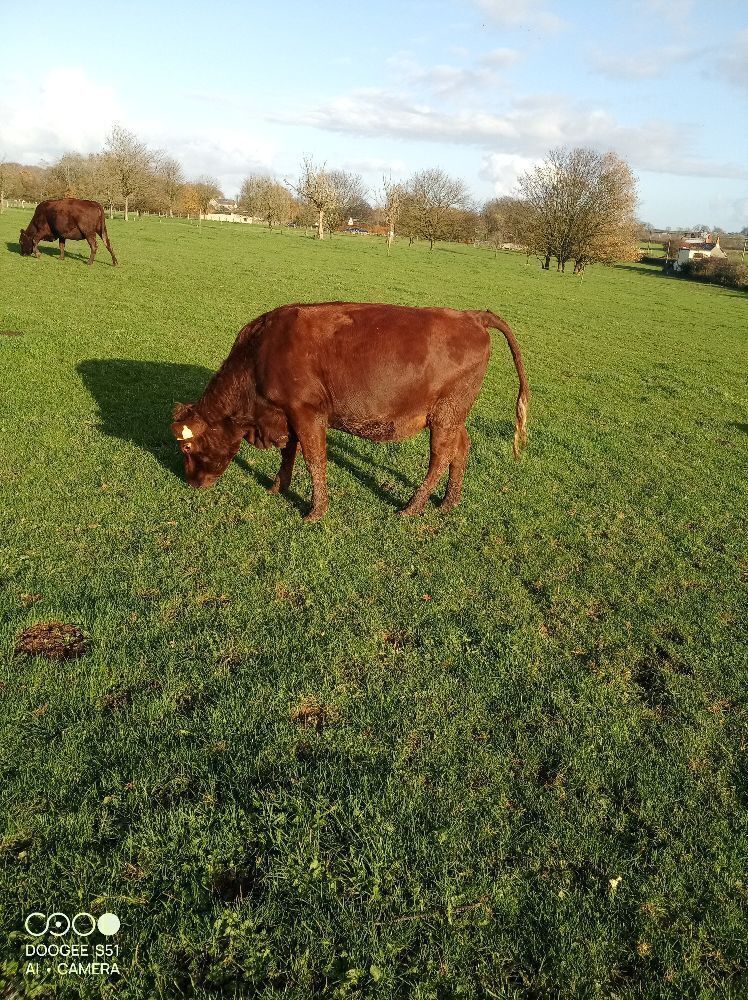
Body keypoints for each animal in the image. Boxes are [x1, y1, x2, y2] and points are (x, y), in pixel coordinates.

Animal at [171, 302, 528, 521]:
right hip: (453, 415)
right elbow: (289, 452)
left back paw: (411, 507)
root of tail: (472, 316)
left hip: (445, 414)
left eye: (187, 447)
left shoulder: (306, 413)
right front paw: (277, 487)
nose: (191, 482)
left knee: (440, 457)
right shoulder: (288, 415)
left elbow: (314, 459)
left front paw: (315, 511)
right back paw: (448, 502)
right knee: (461, 448)